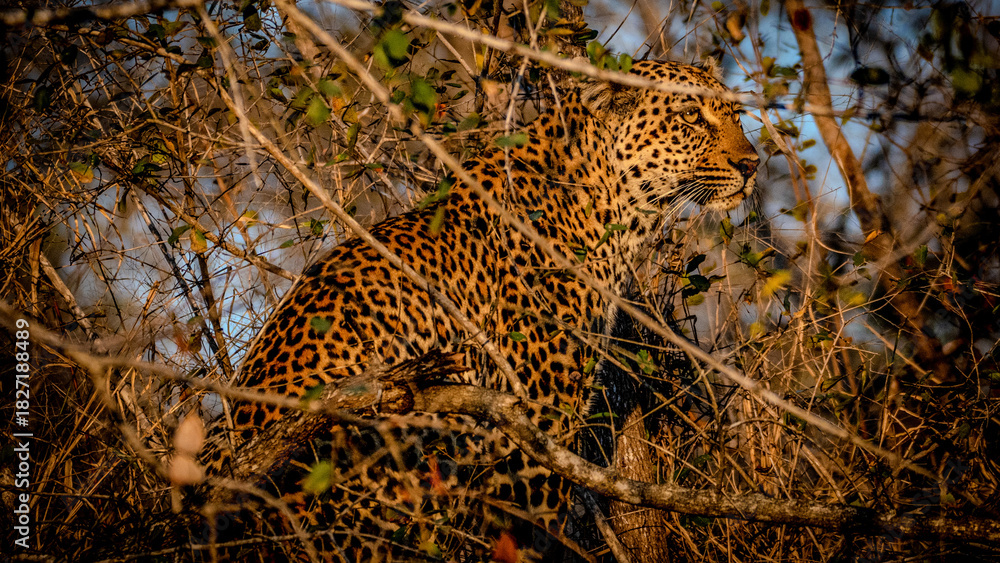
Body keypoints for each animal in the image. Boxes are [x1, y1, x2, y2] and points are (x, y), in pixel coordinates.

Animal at [208, 59, 758, 561]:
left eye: (734, 113)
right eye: (690, 116)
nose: (752, 164)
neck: (611, 211)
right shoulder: (537, 420)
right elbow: (528, 535)